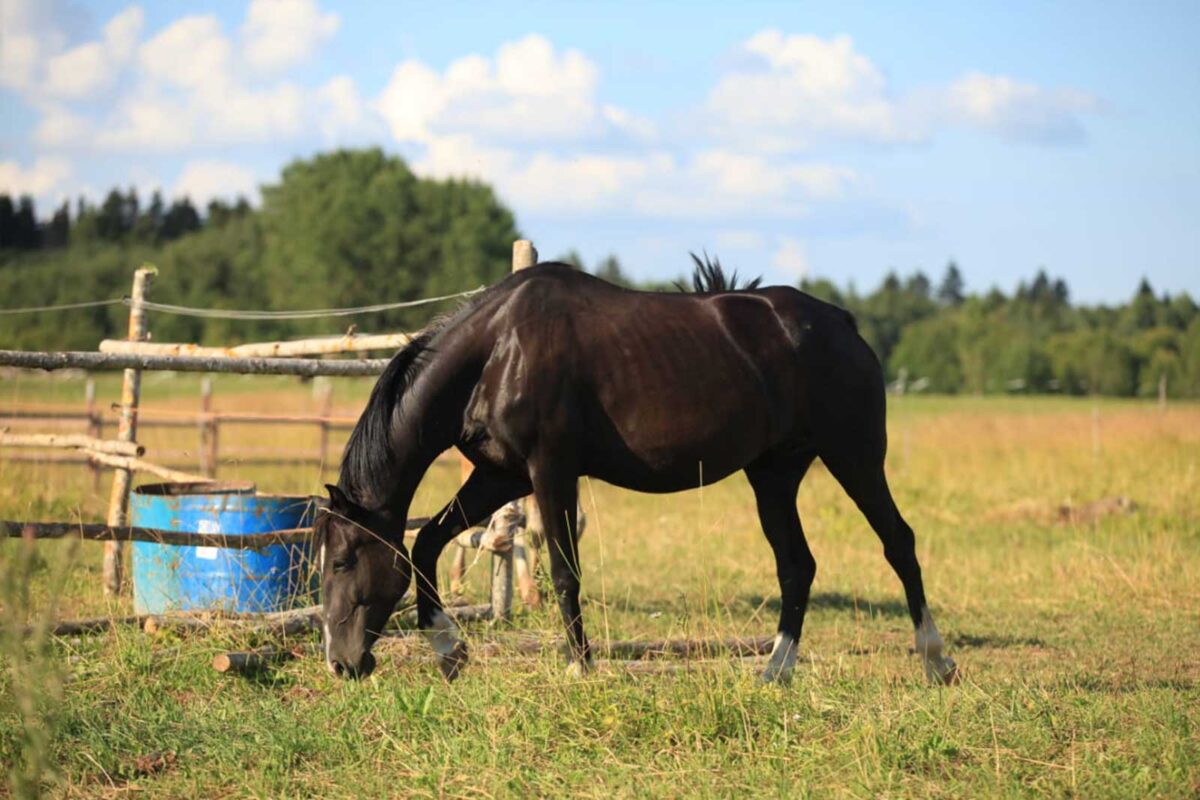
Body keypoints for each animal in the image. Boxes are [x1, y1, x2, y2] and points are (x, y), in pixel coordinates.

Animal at [315, 258, 958, 685]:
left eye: (343, 561)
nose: (341, 663)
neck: (496, 351)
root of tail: (842, 323)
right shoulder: (502, 476)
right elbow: (425, 542)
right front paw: (449, 650)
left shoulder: (550, 470)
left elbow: (565, 570)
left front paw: (580, 668)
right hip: (773, 475)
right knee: (797, 566)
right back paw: (774, 673)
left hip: (855, 456)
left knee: (898, 542)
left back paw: (936, 660)